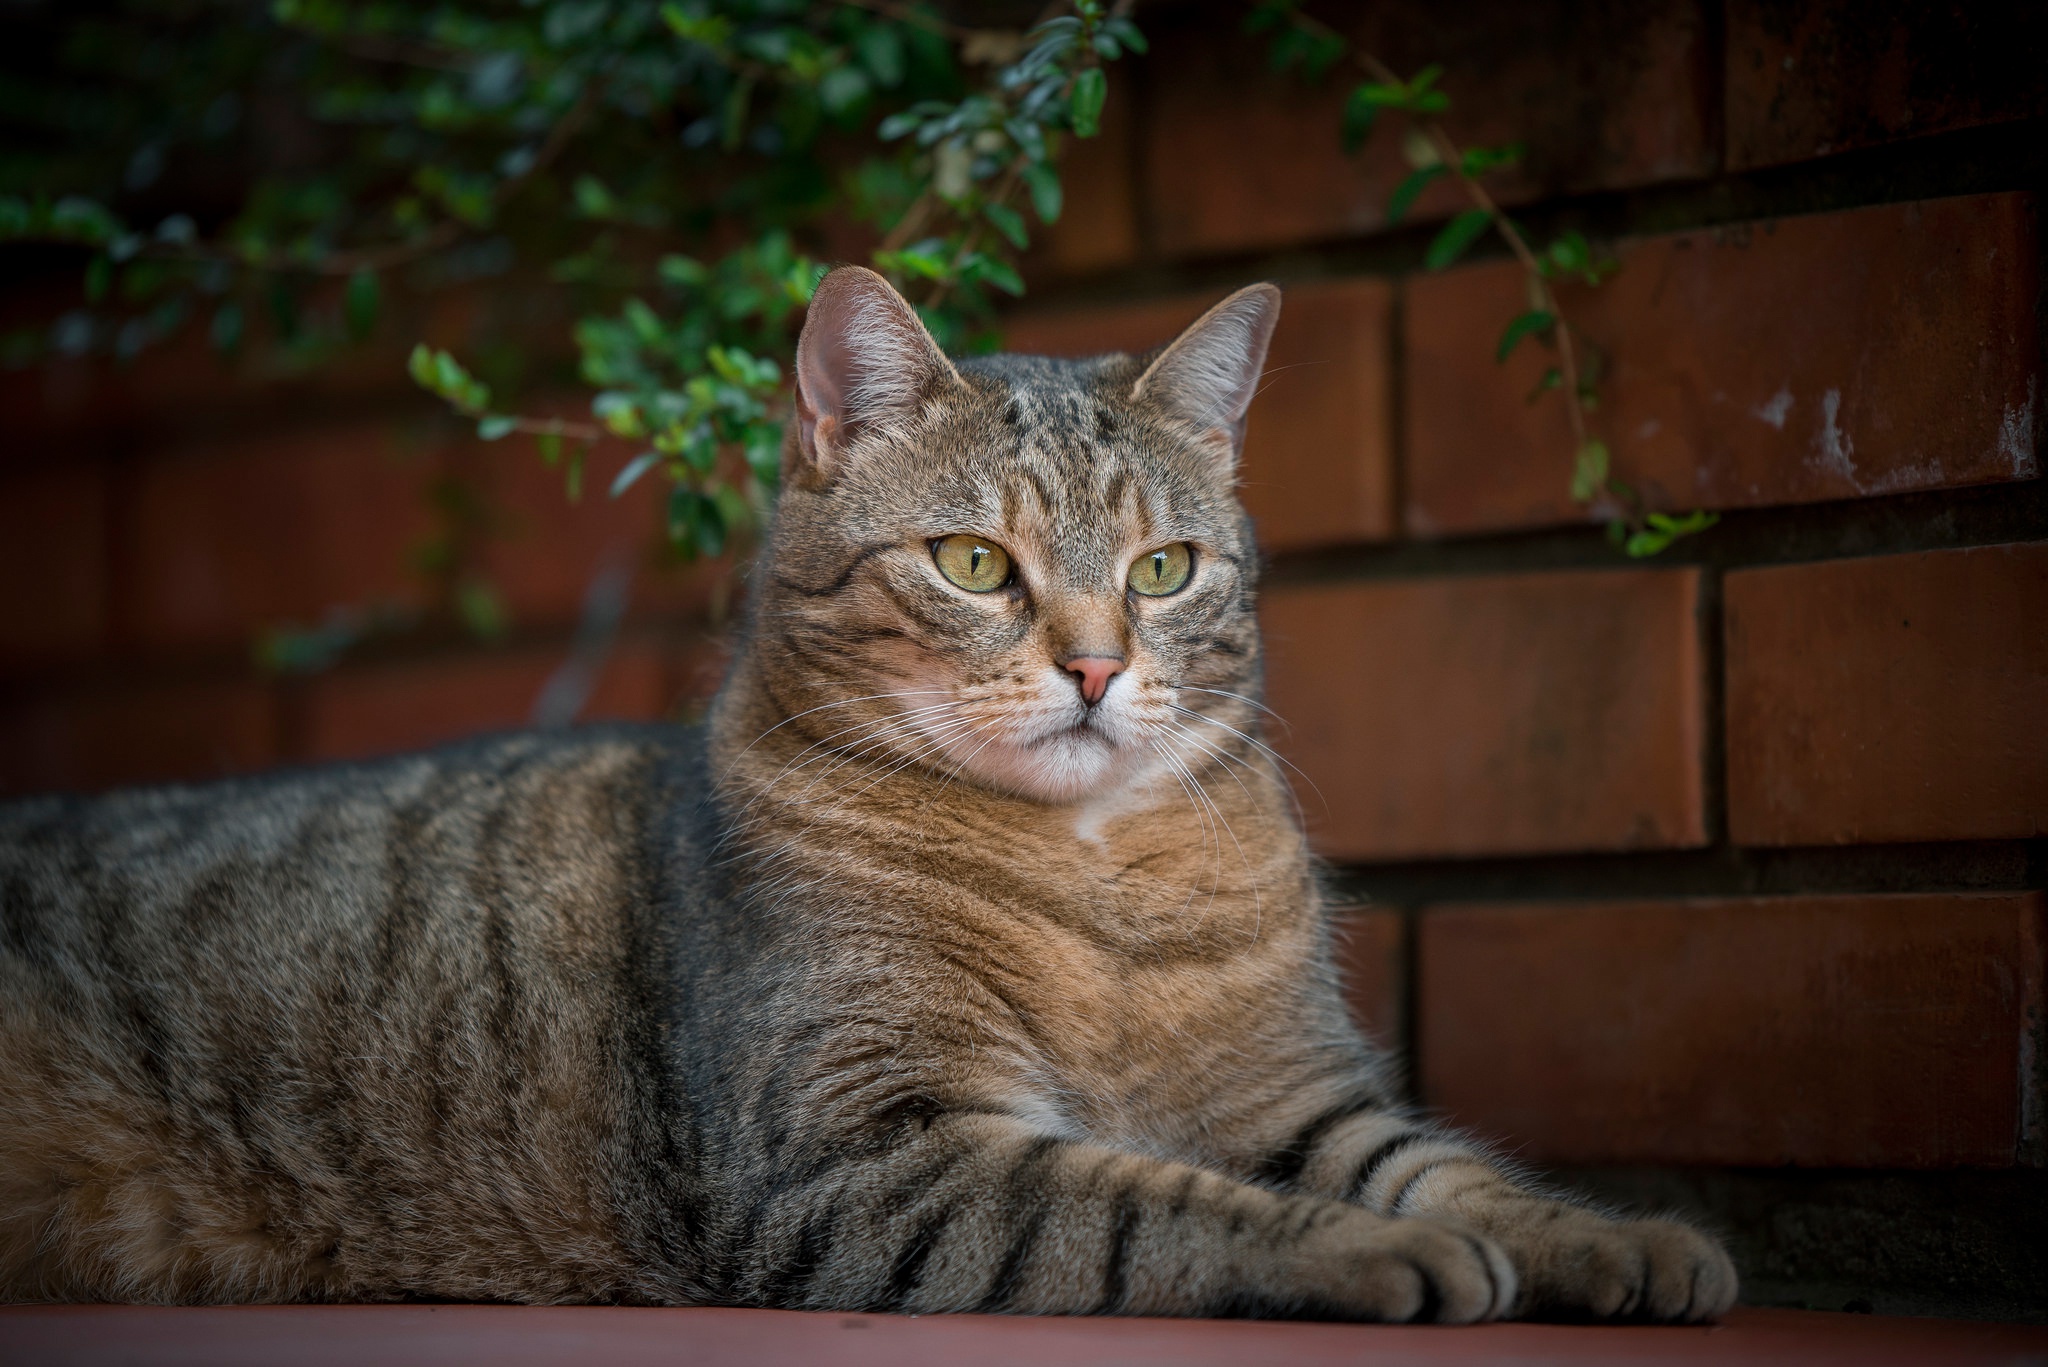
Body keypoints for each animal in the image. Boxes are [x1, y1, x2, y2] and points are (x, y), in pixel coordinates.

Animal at [0, 270, 1736, 1328]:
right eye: (974, 561)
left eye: (1163, 569)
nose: (1097, 663)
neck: (1093, 883)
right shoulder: (863, 1152)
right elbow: (1162, 1202)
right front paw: (1388, 1253)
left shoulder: (1292, 1093)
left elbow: (1449, 1160)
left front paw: (1614, 1233)